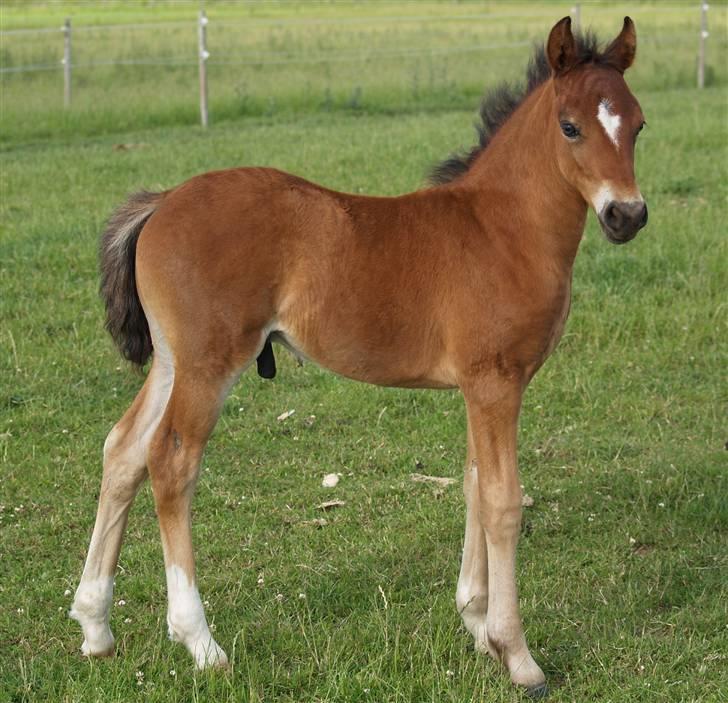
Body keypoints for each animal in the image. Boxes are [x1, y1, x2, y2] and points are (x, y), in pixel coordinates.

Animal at [71, 17, 644, 700]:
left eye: (638, 124)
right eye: (570, 126)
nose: (627, 215)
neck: (502, 229)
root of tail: (160, 201)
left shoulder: (477, 388)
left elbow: (474, 486)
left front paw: (478, 626)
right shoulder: (496, 382)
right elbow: (503, 502)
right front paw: (518, 656)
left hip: (170, 361)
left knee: (123, 451)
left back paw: (95, 627)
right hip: (209, 364)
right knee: (170, 462)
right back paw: (200, 642)